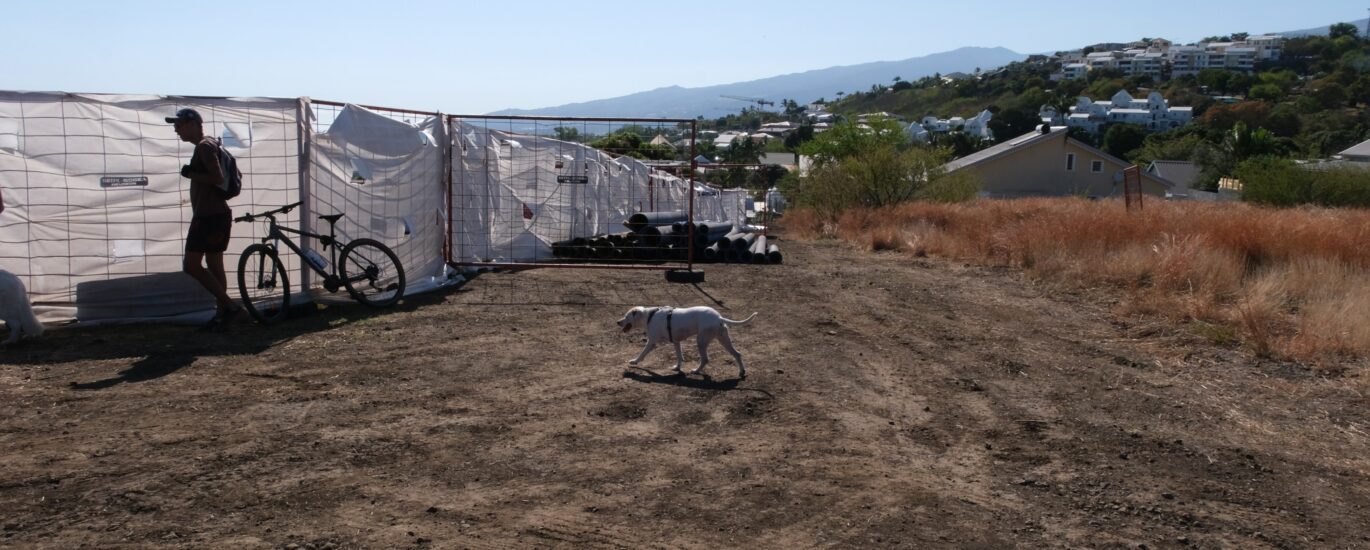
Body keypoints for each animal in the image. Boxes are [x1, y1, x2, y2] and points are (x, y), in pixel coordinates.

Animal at [616, 304, 756, 378]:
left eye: (626, 316)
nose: (617, 322)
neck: (649, 316)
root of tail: (719, 317)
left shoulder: (651, 342)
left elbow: (642, 353)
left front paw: (634, 361)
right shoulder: (676, 342)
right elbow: (679, 356)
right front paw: (677, 368)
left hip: (701, 341)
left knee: (705, 359)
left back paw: (696, 371)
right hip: (723, 339)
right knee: (737, 354)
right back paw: (742, 372)